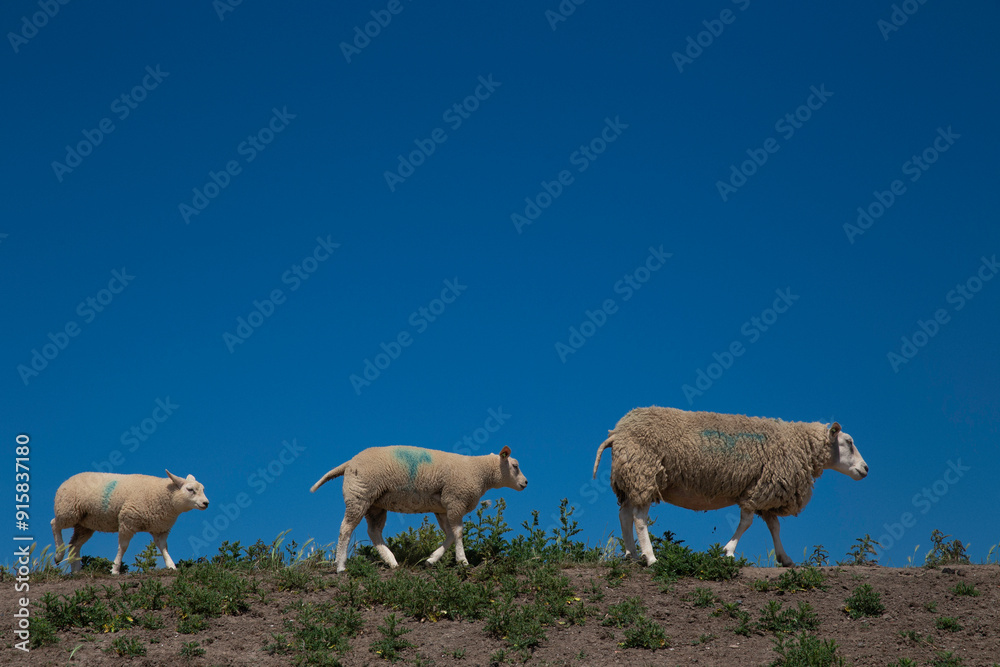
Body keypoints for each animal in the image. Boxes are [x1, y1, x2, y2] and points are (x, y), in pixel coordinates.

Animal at [51, 470, 209, 574]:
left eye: (203, 489)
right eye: (190, 489)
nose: (206, 503)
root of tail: (66, 480)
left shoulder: (160, 528)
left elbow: (164, 547)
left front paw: (171, 566)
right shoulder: (127, 521)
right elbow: (123, 547)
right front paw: (115, 569)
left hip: (85, 524)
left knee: (74, 544)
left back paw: (76, 570)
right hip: (68, 511)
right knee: (54, 524)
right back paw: (58, 555)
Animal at [310, 445, 528, 572]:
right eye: (515, 465)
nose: (526, 483)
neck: (479, 472)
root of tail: (349, 463)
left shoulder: (443, 507)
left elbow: (450, 534)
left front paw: (431, 559)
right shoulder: (455, 500)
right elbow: (458, 533)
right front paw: (463, 561)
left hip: (375, 504)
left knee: (373, 531)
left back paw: (391, 561)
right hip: (359, 496)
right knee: (346, 528)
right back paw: (340, 565)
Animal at [592, 407, 868, 567]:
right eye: (849, 442)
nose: (866, 469)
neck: (800, 446)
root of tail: (616, 433)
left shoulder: (767, 490)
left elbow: (774, 527)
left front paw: (785, 558)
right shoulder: (759, 489)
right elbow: (746, 523)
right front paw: (728, 551)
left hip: (630, 477)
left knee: (624, 515)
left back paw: (631, 554)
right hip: (644, 472)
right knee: (639, 518)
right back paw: (650, 557)